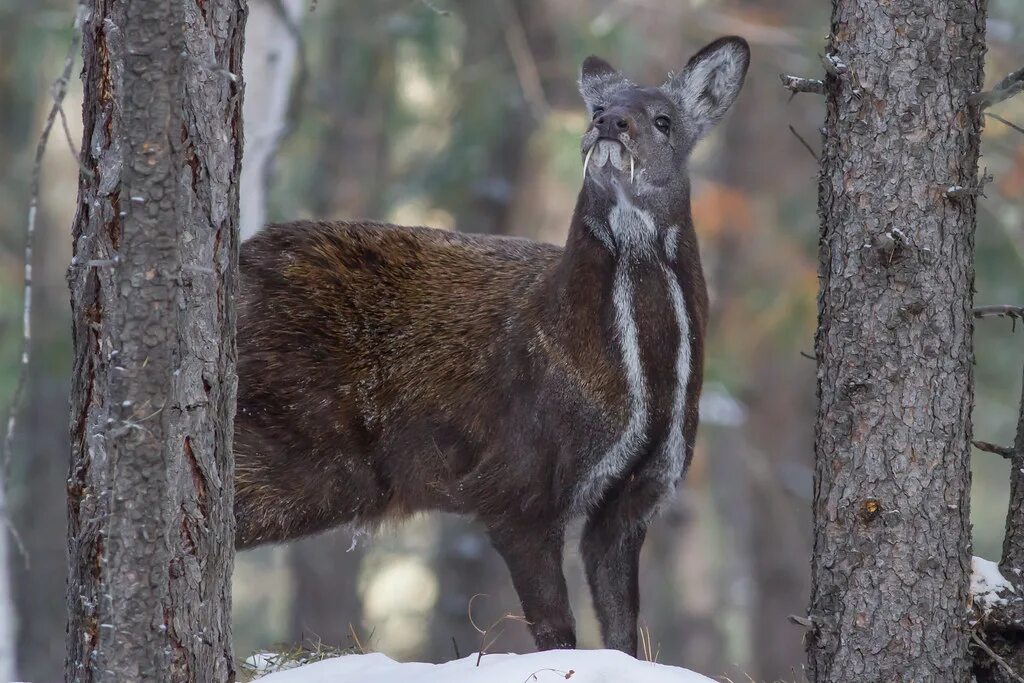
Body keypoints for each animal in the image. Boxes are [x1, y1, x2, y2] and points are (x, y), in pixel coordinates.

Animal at [235, 37, 749, 655]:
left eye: (664, 119)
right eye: (597, 108)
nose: (608, 123)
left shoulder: (639, 493)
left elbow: (623, 628)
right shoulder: (514, 478)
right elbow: (556, 631)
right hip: (302, 445)